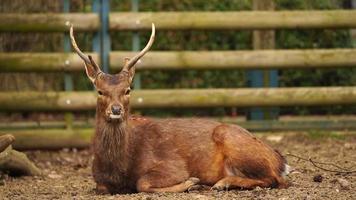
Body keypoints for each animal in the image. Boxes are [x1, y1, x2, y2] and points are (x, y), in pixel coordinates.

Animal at [69, 23, 290, 194]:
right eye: (100, 91)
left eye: (128, 90)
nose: (116, 110)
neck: (119, 168)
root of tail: (279, 159)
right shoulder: (99, 180)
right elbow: (102, 187)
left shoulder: (173, 166)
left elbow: (142, 183)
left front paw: (191, 182)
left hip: (236, 143)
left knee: (276, 180)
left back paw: (222, 183)